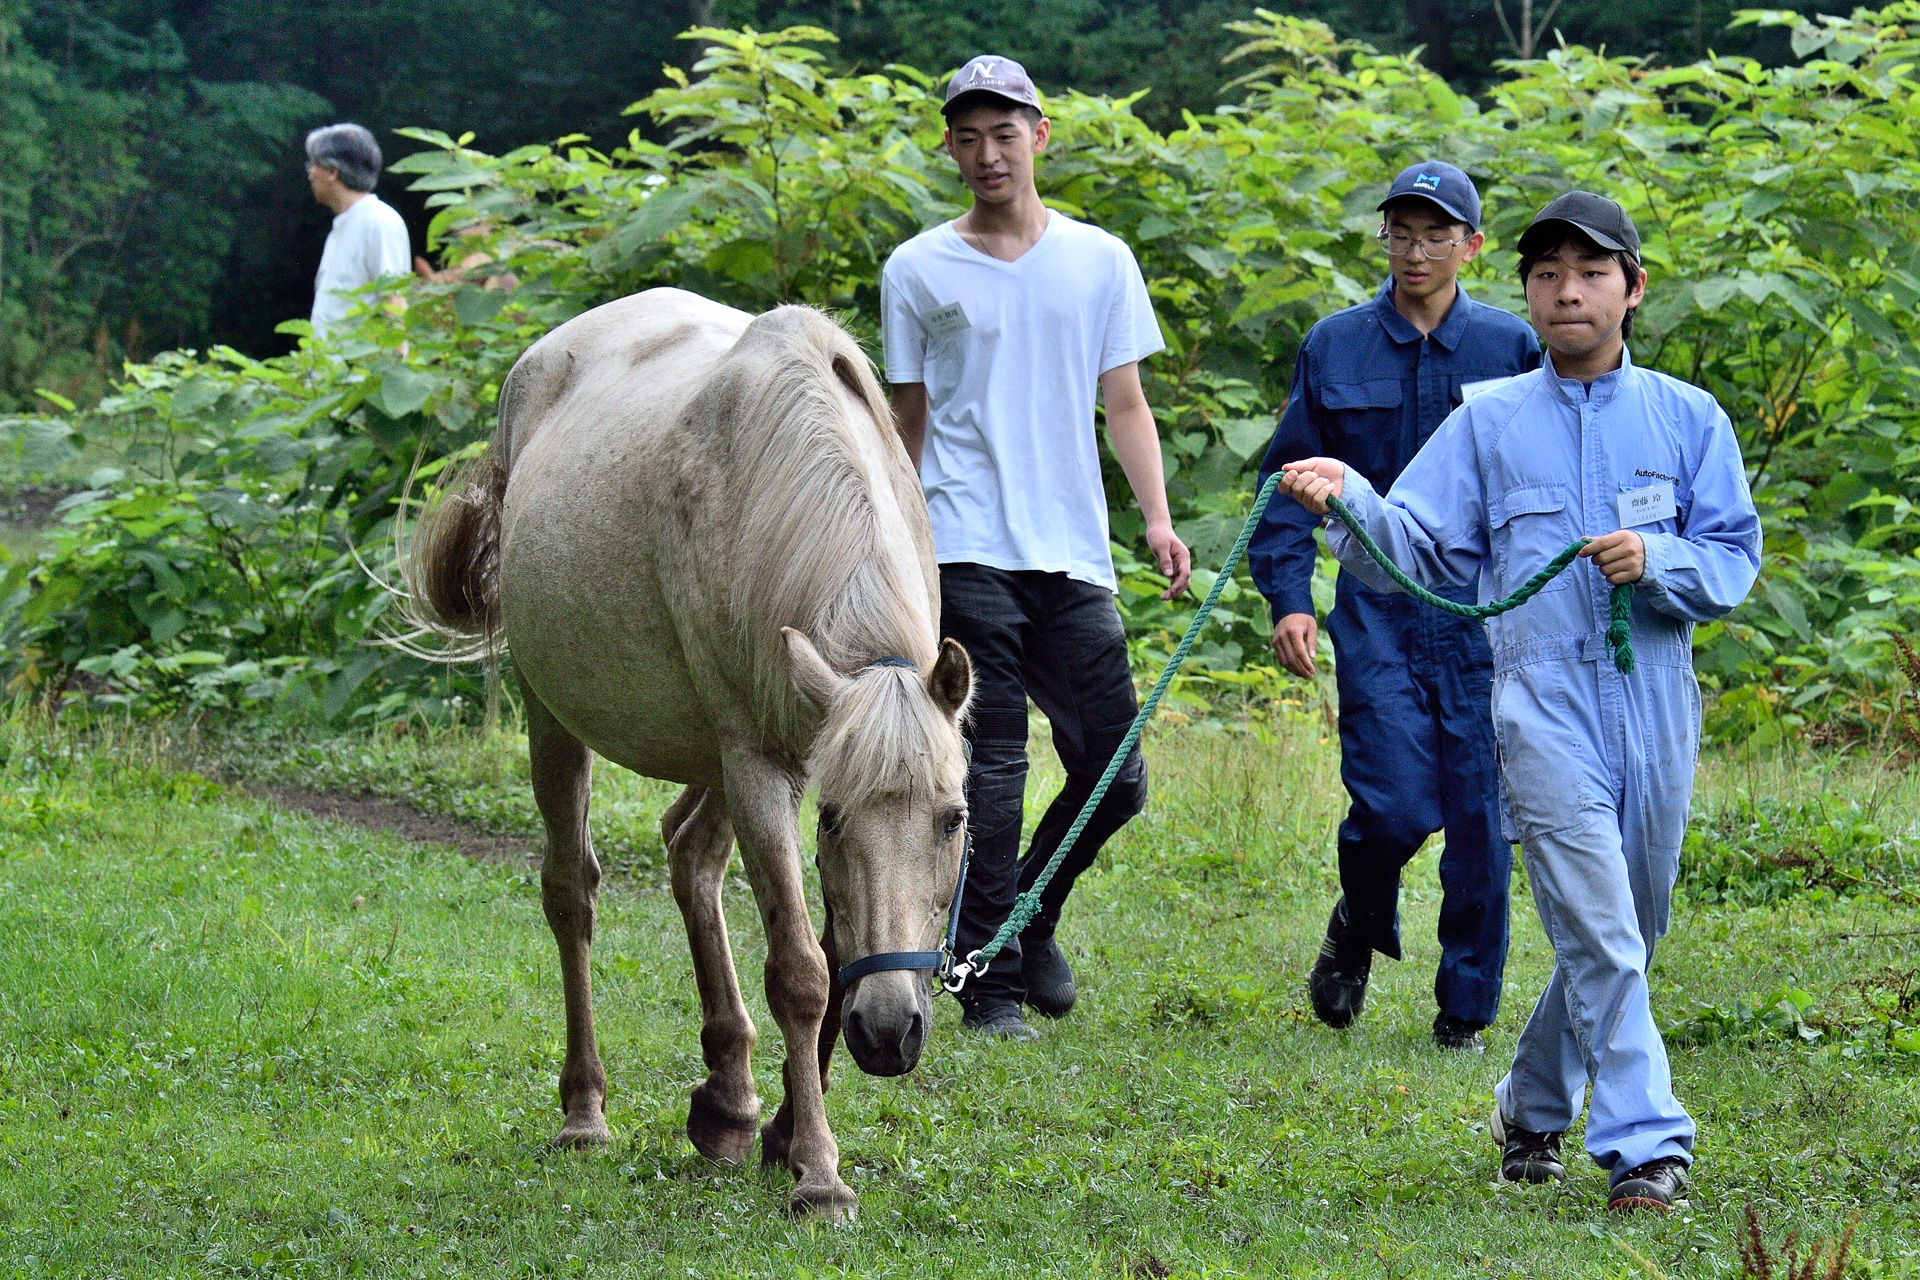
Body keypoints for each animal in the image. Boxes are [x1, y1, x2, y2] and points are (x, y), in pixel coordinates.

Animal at [408, 288, 972, 1219]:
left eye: (954, 819)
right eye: (830, 820)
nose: (891, 1032)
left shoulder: (784, 749)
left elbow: (829, 954)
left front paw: (781, 1130)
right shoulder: (761, 768)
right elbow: (802, 972)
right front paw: (819, 1174)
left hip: (712, 754)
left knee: (689, 857)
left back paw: (729, 1102)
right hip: (559, 721)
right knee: (572, 894)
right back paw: (585, 1111)